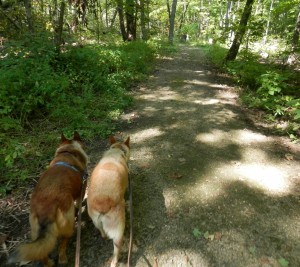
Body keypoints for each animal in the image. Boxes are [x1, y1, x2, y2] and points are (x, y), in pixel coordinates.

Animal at [7, 132, 88, 267]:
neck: (68, 152)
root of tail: (47, 209)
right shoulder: (81, 191)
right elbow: (79, 202)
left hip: (35, 231)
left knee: (41, 251)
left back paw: (48, 262)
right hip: (68, 219)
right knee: (63, 242)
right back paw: (63, 258)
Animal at [86, 137, 129, 266]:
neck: (116, 151)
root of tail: (102, 203)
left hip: (95, 220)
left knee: (101, 230)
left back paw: (104, 236)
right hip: (118, 230)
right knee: (116, 250)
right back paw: (115, 261)